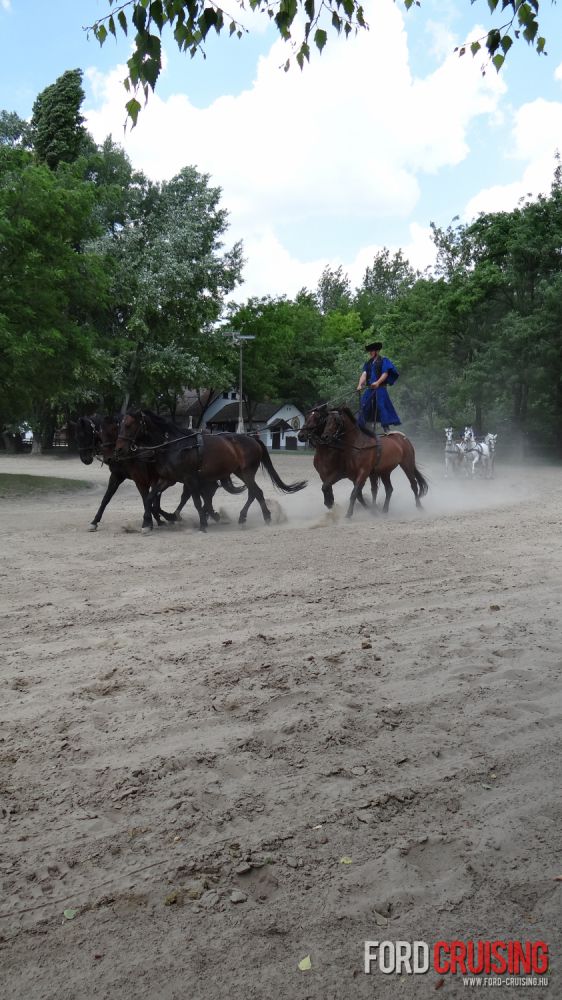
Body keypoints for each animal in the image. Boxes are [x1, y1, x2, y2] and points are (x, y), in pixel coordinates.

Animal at [114, 408, 306, 532]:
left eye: (129, 425)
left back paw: (265, 517)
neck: (175, 446)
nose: (119, 449)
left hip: (246, 472)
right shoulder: (166, 479)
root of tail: (253, 439)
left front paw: (202, 524)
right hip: (240, 472)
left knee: (256, 493)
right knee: (253, 493)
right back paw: (244, 517)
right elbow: (149, 498)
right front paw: (147, 523)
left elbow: (197, 502)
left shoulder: (190, 479)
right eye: (120, 425)